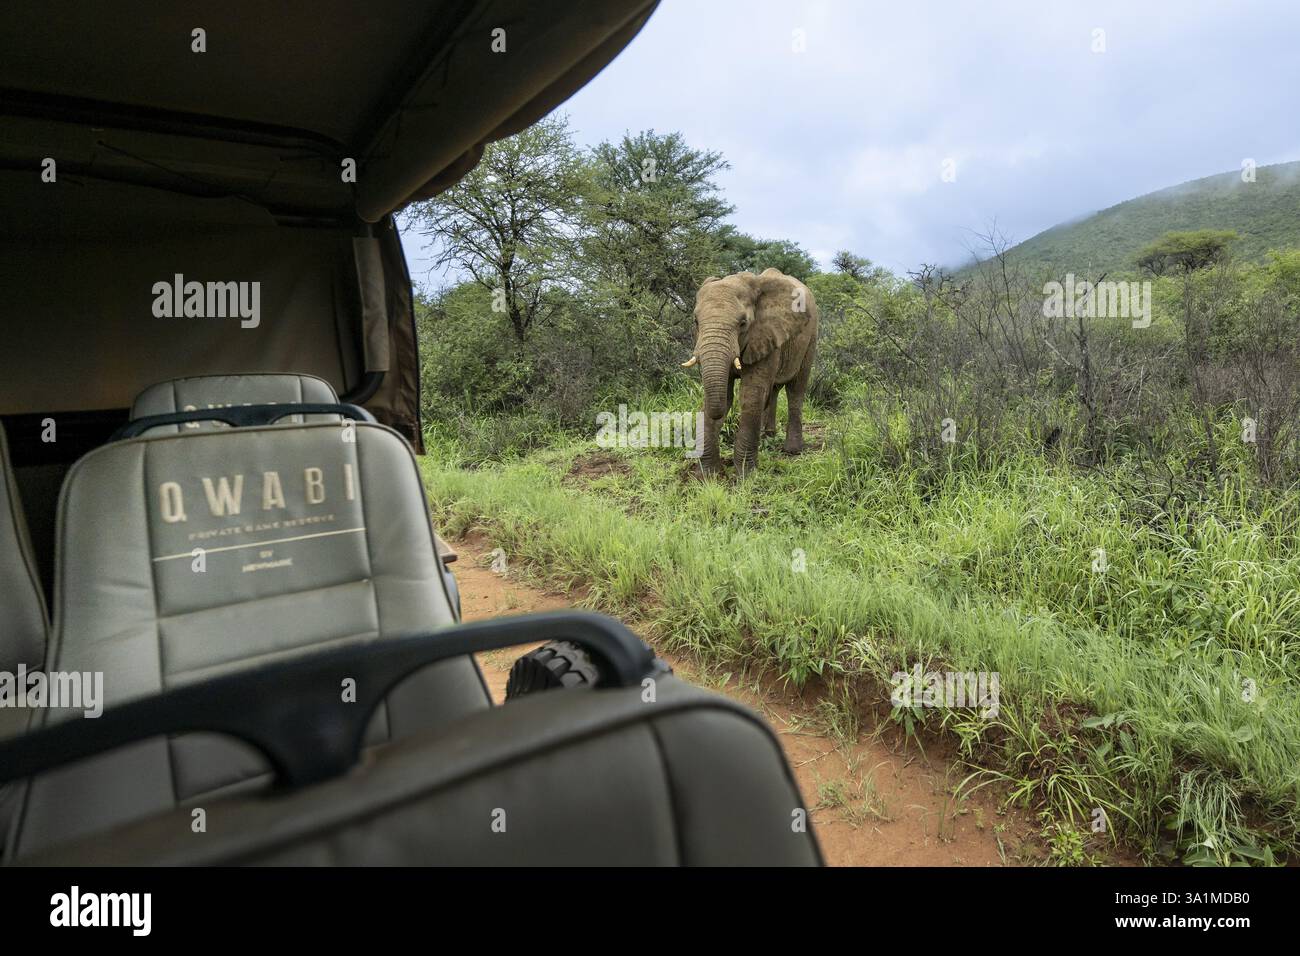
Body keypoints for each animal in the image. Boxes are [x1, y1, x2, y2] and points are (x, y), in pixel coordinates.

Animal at [681, 268, 818, 476]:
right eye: (695, 321)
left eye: (743, 323)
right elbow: (725, 395)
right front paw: (709, 475)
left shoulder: (766, 333)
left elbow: (751, 394)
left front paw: (745, 475)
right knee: (774, 389)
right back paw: (767, 436)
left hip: (811, 337)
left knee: (796, 389)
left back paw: (792, 450)